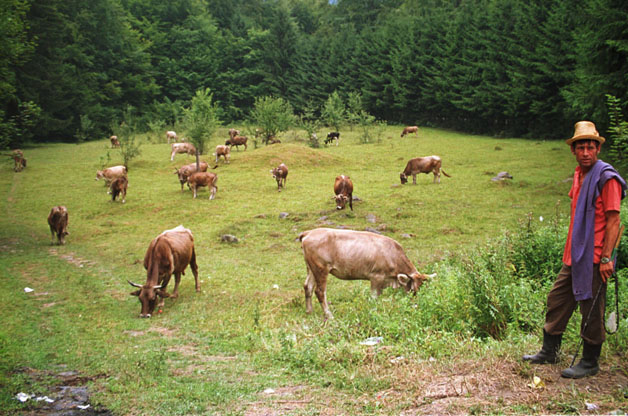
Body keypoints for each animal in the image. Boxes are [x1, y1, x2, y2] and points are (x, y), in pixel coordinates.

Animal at [300, 228, 436, 318]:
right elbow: (374, 297)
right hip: (321, 269)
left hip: (311, 268)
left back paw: (309, 311)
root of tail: (309, 232)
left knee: (308, 287)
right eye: (413, 290)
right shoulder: (376, 277)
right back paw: (329, 315)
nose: (416, 305)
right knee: (320, 291)